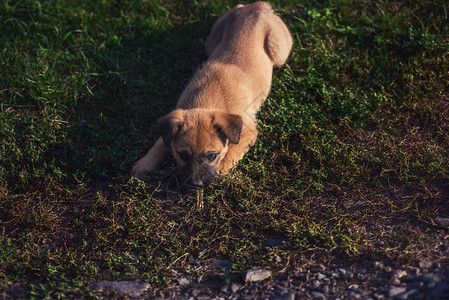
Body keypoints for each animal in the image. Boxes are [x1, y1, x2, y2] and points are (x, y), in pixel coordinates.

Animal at [131, 0, 292, 188]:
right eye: (183, 155)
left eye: (212, 156)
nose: (196, 184)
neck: (208, 100)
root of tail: (259, 7)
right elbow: (161, 142)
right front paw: (145, 163)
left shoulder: (248, 130)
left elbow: (232, 150)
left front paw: (222, 169)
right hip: (211, 41)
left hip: (279, 52)